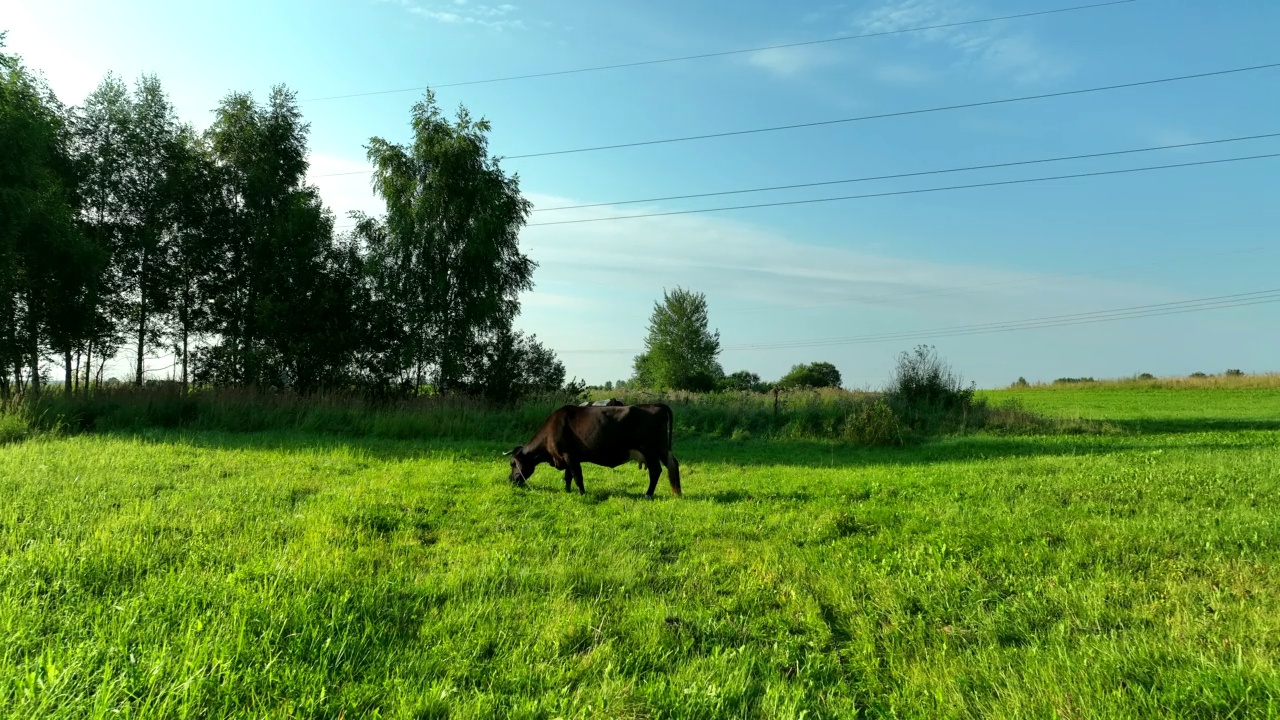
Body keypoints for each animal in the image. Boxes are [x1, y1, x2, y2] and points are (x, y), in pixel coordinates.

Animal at [504, 399, 680, 497]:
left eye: (512, 464)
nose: (510, 480)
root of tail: (655, 405)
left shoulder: (569, 455)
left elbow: (577, 476)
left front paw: (582, 494)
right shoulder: (570, 457)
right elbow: (568, 476)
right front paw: (568, 491)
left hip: (651, 449)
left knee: (656, 471)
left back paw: (648, 494)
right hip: (662, 449)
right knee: (673, 465)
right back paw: (677, 492)